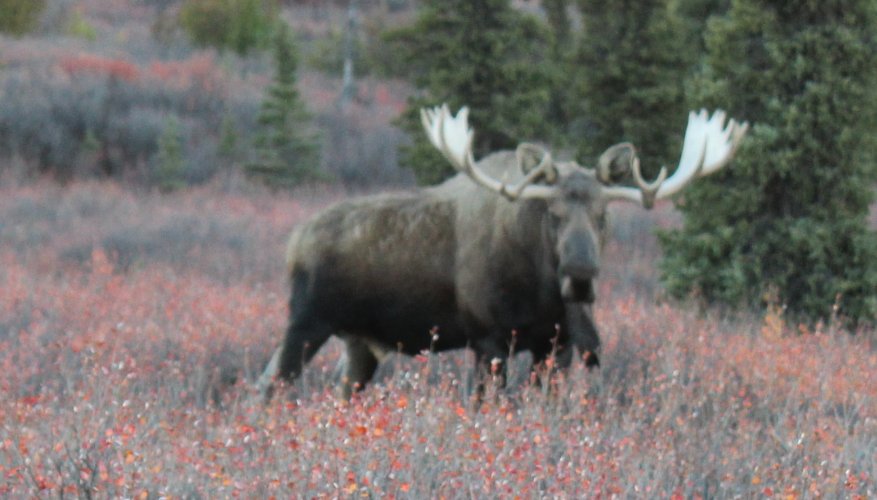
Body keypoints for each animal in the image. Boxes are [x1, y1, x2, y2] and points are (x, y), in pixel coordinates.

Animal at [257, 105, 748, 400]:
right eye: (551, 212)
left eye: (604, 213)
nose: (580, 273)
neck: (540, 292)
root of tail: (293, 241)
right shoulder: (488, 338)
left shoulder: (556, 346)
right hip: (306, 322)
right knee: (268, 387)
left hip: (359, 345)